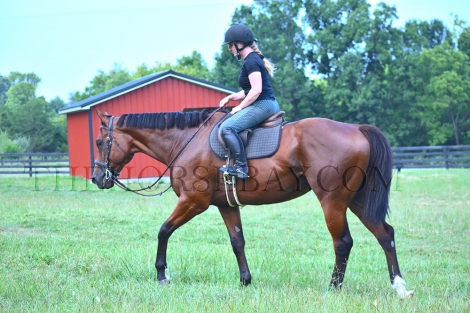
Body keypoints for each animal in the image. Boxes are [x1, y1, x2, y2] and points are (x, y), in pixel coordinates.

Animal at [91, 108, 412, 296]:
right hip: (358, 201)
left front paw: (162, 275)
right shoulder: (226, 205)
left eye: (99, 142)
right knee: (385, 234)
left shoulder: (193, 201)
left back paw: (334, 287)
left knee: (343, 242)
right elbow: (237, 242)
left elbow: (163, 231)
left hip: (332, 201)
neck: (188, 140)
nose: (96, 178)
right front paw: (245, 281)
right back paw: (399, 286)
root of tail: (356, 128)